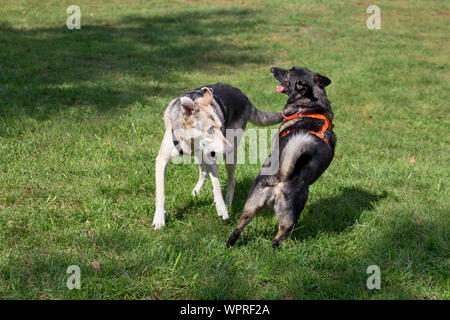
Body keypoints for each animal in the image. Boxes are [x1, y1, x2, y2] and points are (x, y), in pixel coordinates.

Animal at [153, 83, 284, 230]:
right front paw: (159, 217)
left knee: (231, 181)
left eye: (221, 127)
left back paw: (228, 202)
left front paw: (221, 207)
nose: (229, 149)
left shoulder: (211, 158)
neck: (189, 142)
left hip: (229, 158)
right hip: (200, 157)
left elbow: (216, 185)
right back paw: (196, 191)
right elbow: (160, 193)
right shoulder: (161, 160)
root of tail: (244, 97)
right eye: (210, 130)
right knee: (203, 172)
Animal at [227, 67, 336, 248]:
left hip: (252, 206)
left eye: (288, 73)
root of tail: (282, 179)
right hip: (280, 214)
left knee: (245, 229)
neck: (310, 106)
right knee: (275, 237)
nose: (272, 69)